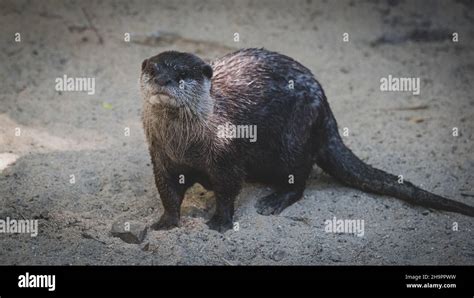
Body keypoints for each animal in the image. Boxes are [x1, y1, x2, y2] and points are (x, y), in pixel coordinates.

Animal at [140, 48, 474, 233]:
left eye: (182, 74)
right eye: (153, 70)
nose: (163, 80)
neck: (187, 146)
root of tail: (326, 109)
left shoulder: (227, 154)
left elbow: (227, 188)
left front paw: (221, 221)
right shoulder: (161, 157)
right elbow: (168, 191)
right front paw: (165, 222)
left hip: (294, 135)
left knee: (298, 177)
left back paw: (275, 200)